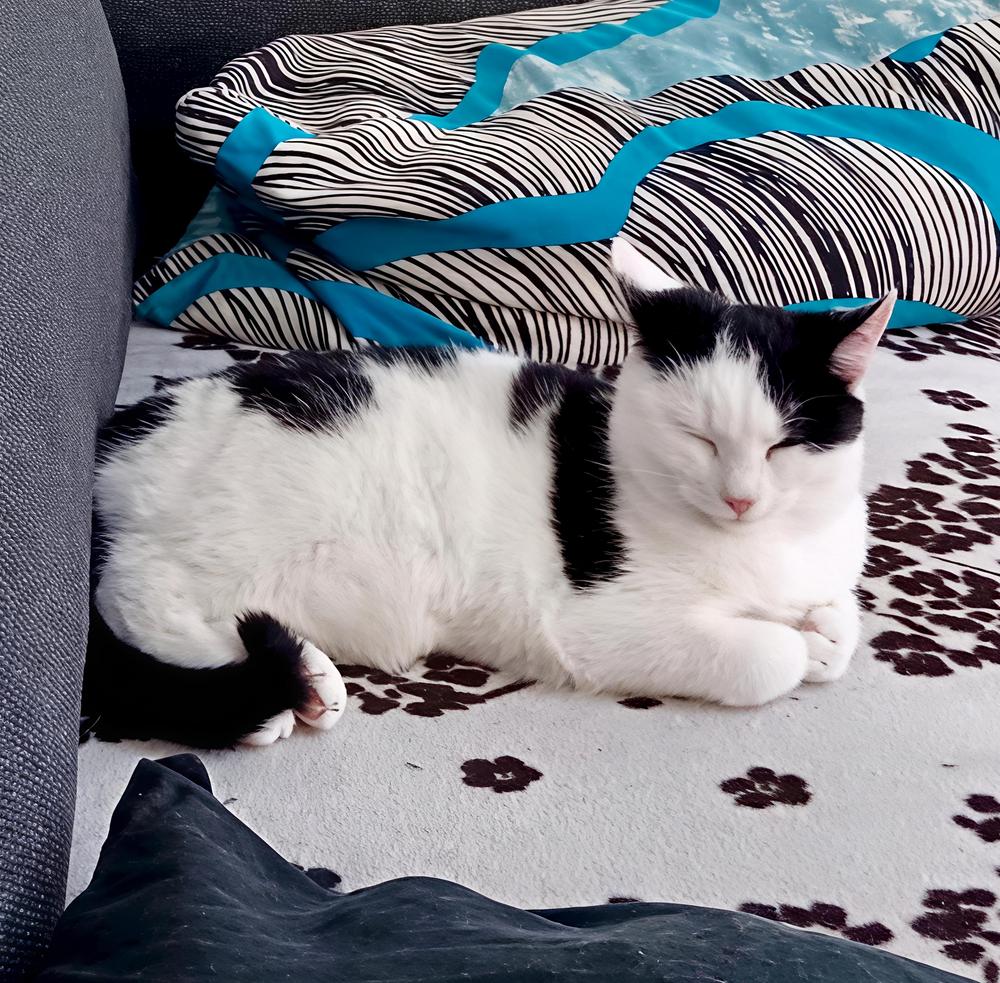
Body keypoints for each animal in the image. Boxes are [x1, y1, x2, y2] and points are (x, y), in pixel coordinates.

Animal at [85, 237, 894, 748]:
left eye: (783, 444)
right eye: (698, 436)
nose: (740, 497)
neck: (761, 550)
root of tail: (119, 434)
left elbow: (840, 621)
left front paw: (821, 630)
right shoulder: (596, 623)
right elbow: (770, 659)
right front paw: (794, 643)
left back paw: (310, 676)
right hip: (220, 528)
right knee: (133, 598)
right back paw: (285, 687)